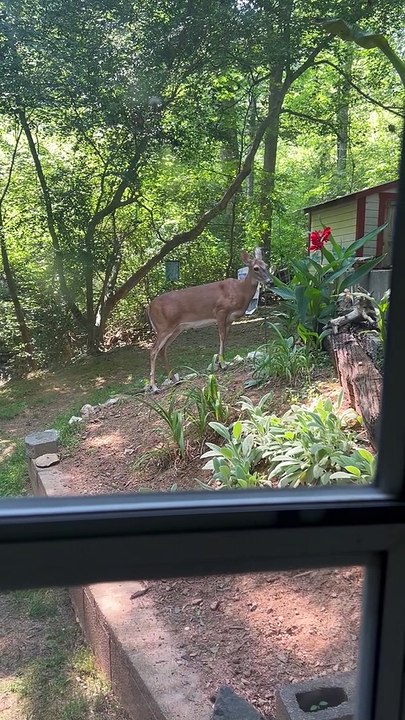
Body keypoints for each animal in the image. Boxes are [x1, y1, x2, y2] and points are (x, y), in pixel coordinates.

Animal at [147, 248, 272, 392]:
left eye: (266, 265)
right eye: (256, 268)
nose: (270, 282)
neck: (240, 292)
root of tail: (149, 307)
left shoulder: (230, 319)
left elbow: (225, 338)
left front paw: (219, 363)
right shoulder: (220, 311)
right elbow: (222, 336)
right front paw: (222, 364)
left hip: (176, 328)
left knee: (163, 350)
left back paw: (174, 380)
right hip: (163, 327)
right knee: (153, 350)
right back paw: (154, 387)